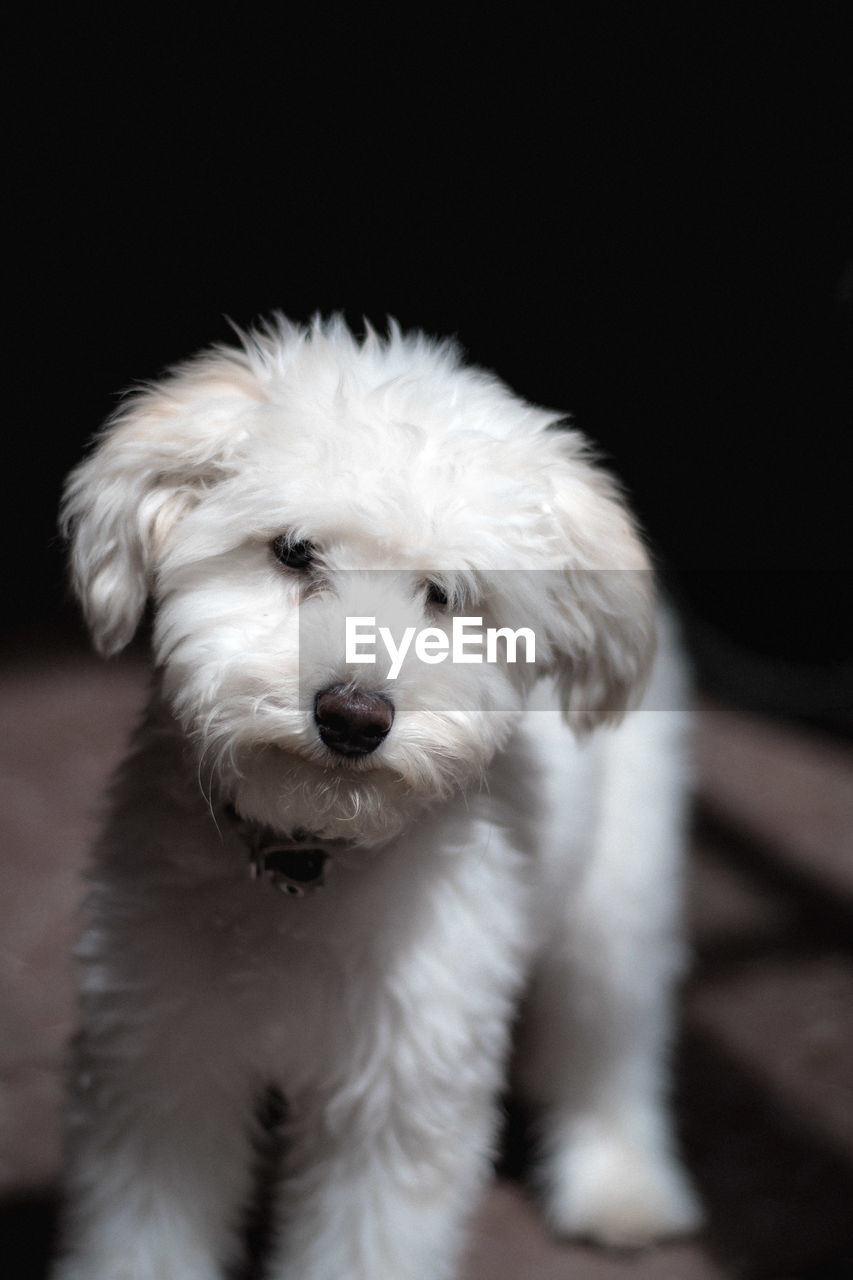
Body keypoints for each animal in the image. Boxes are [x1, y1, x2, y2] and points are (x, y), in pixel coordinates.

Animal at [56, 312, 701, 1280]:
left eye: (447, 594)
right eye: (293, 552)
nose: (353, 716)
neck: (307, 863)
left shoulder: (399, 1107)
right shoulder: (159, 1069)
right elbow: (145, 1233)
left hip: (615, 900)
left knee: (609, 1047)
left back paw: (620, 1187)